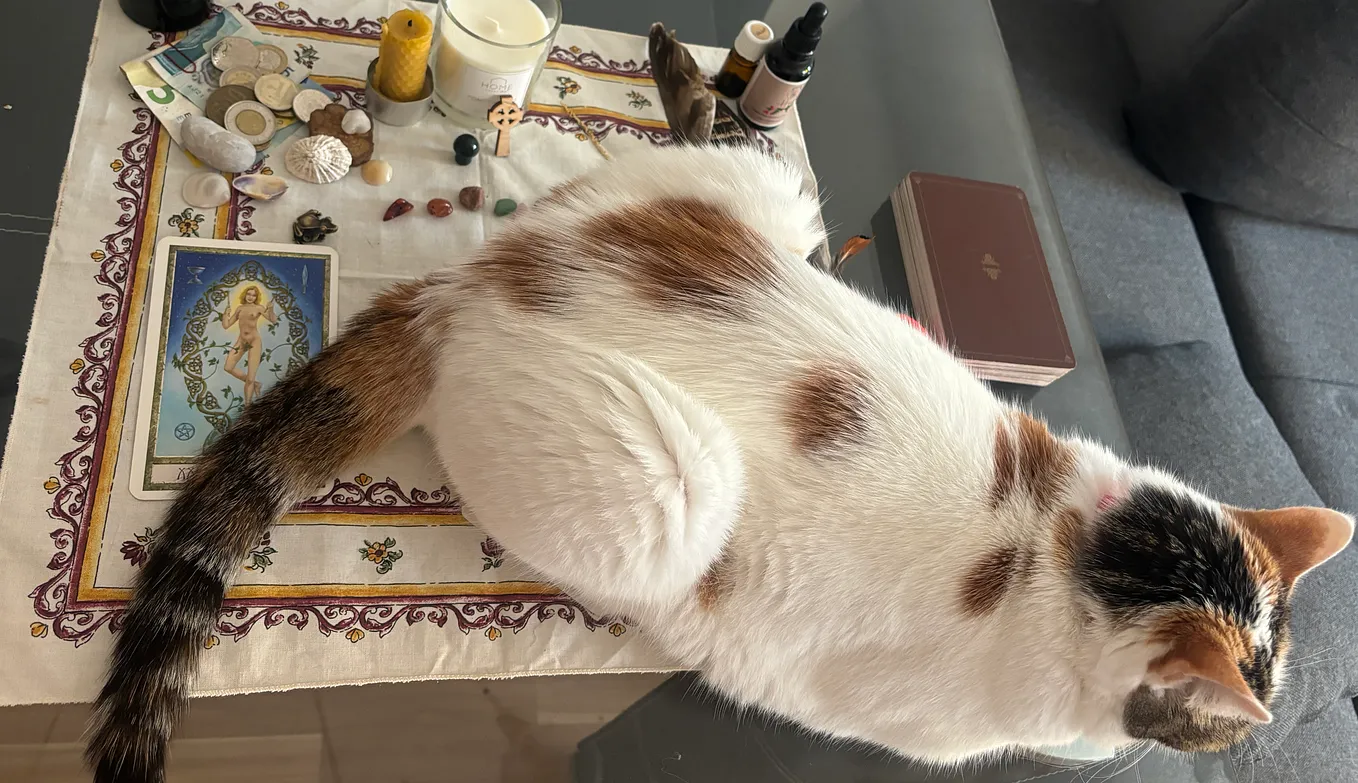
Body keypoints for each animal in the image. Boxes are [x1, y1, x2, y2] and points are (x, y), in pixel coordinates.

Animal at [90, 143, 1352, 776]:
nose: (1270, 717)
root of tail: (466, 288)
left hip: (763, 188)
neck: (1064, 546)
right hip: (668, 485)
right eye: (1248, 703)